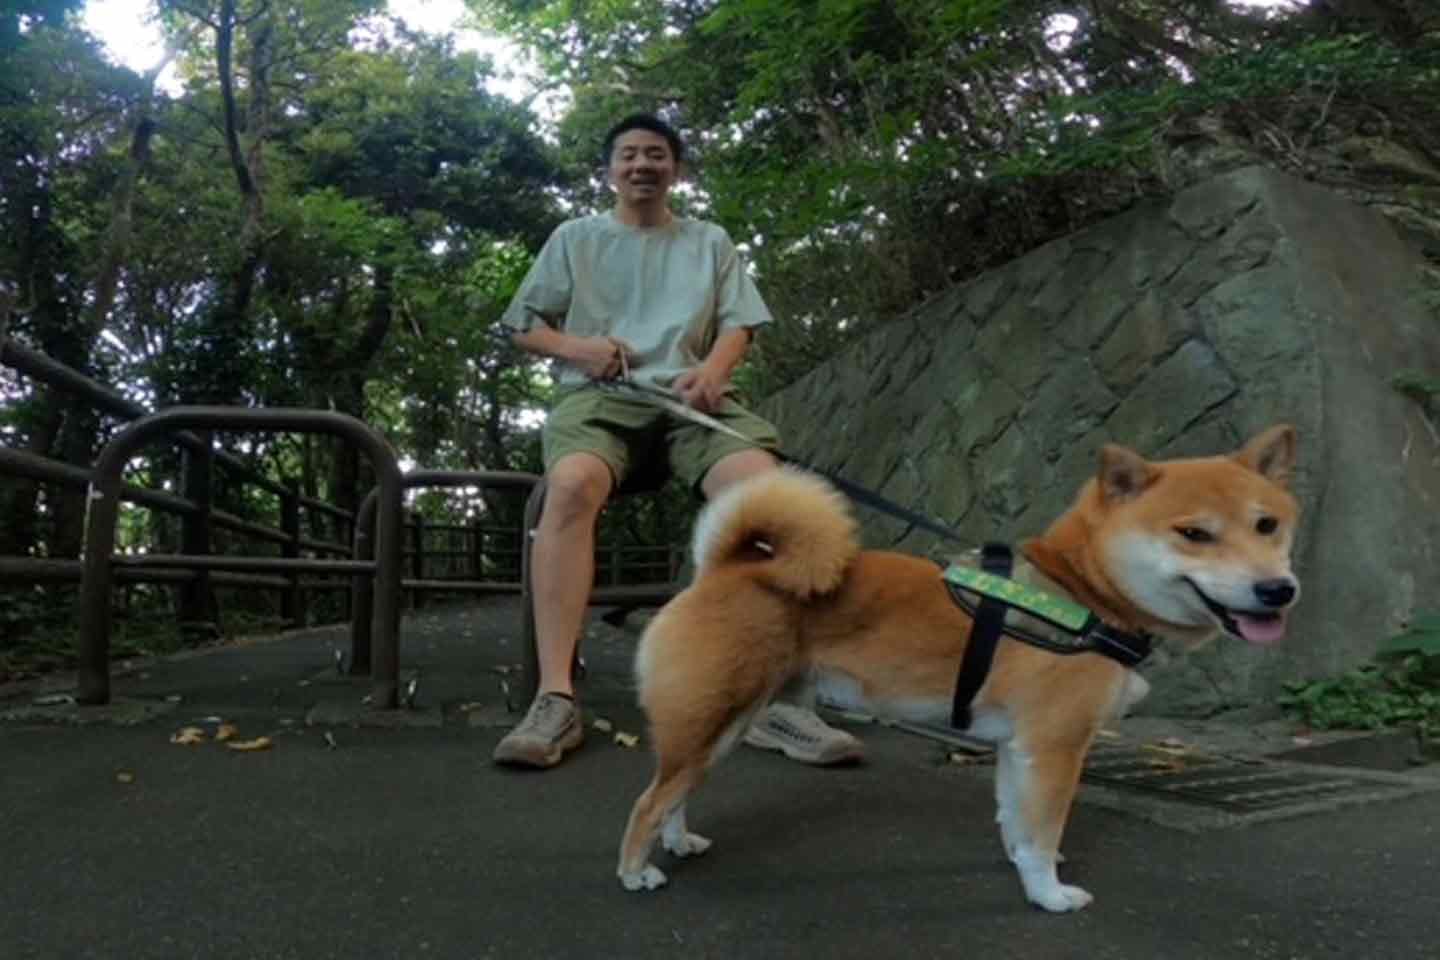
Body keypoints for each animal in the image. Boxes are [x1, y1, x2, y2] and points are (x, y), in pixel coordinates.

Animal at [619, 423, 1307, 915]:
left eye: (1267, 525)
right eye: (1194, 534)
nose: (1279, 590)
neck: (1085, 593)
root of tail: (725, 569)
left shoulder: (1016, 746)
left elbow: (1017, 821)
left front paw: (1026, 871)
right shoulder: (1054, 746)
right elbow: (1044, 828)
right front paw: (1050, 895)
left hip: (725, 725)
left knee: (677, 792)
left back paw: (678, 841)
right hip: (711, 718)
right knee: (649, 801)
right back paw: (636, 871)